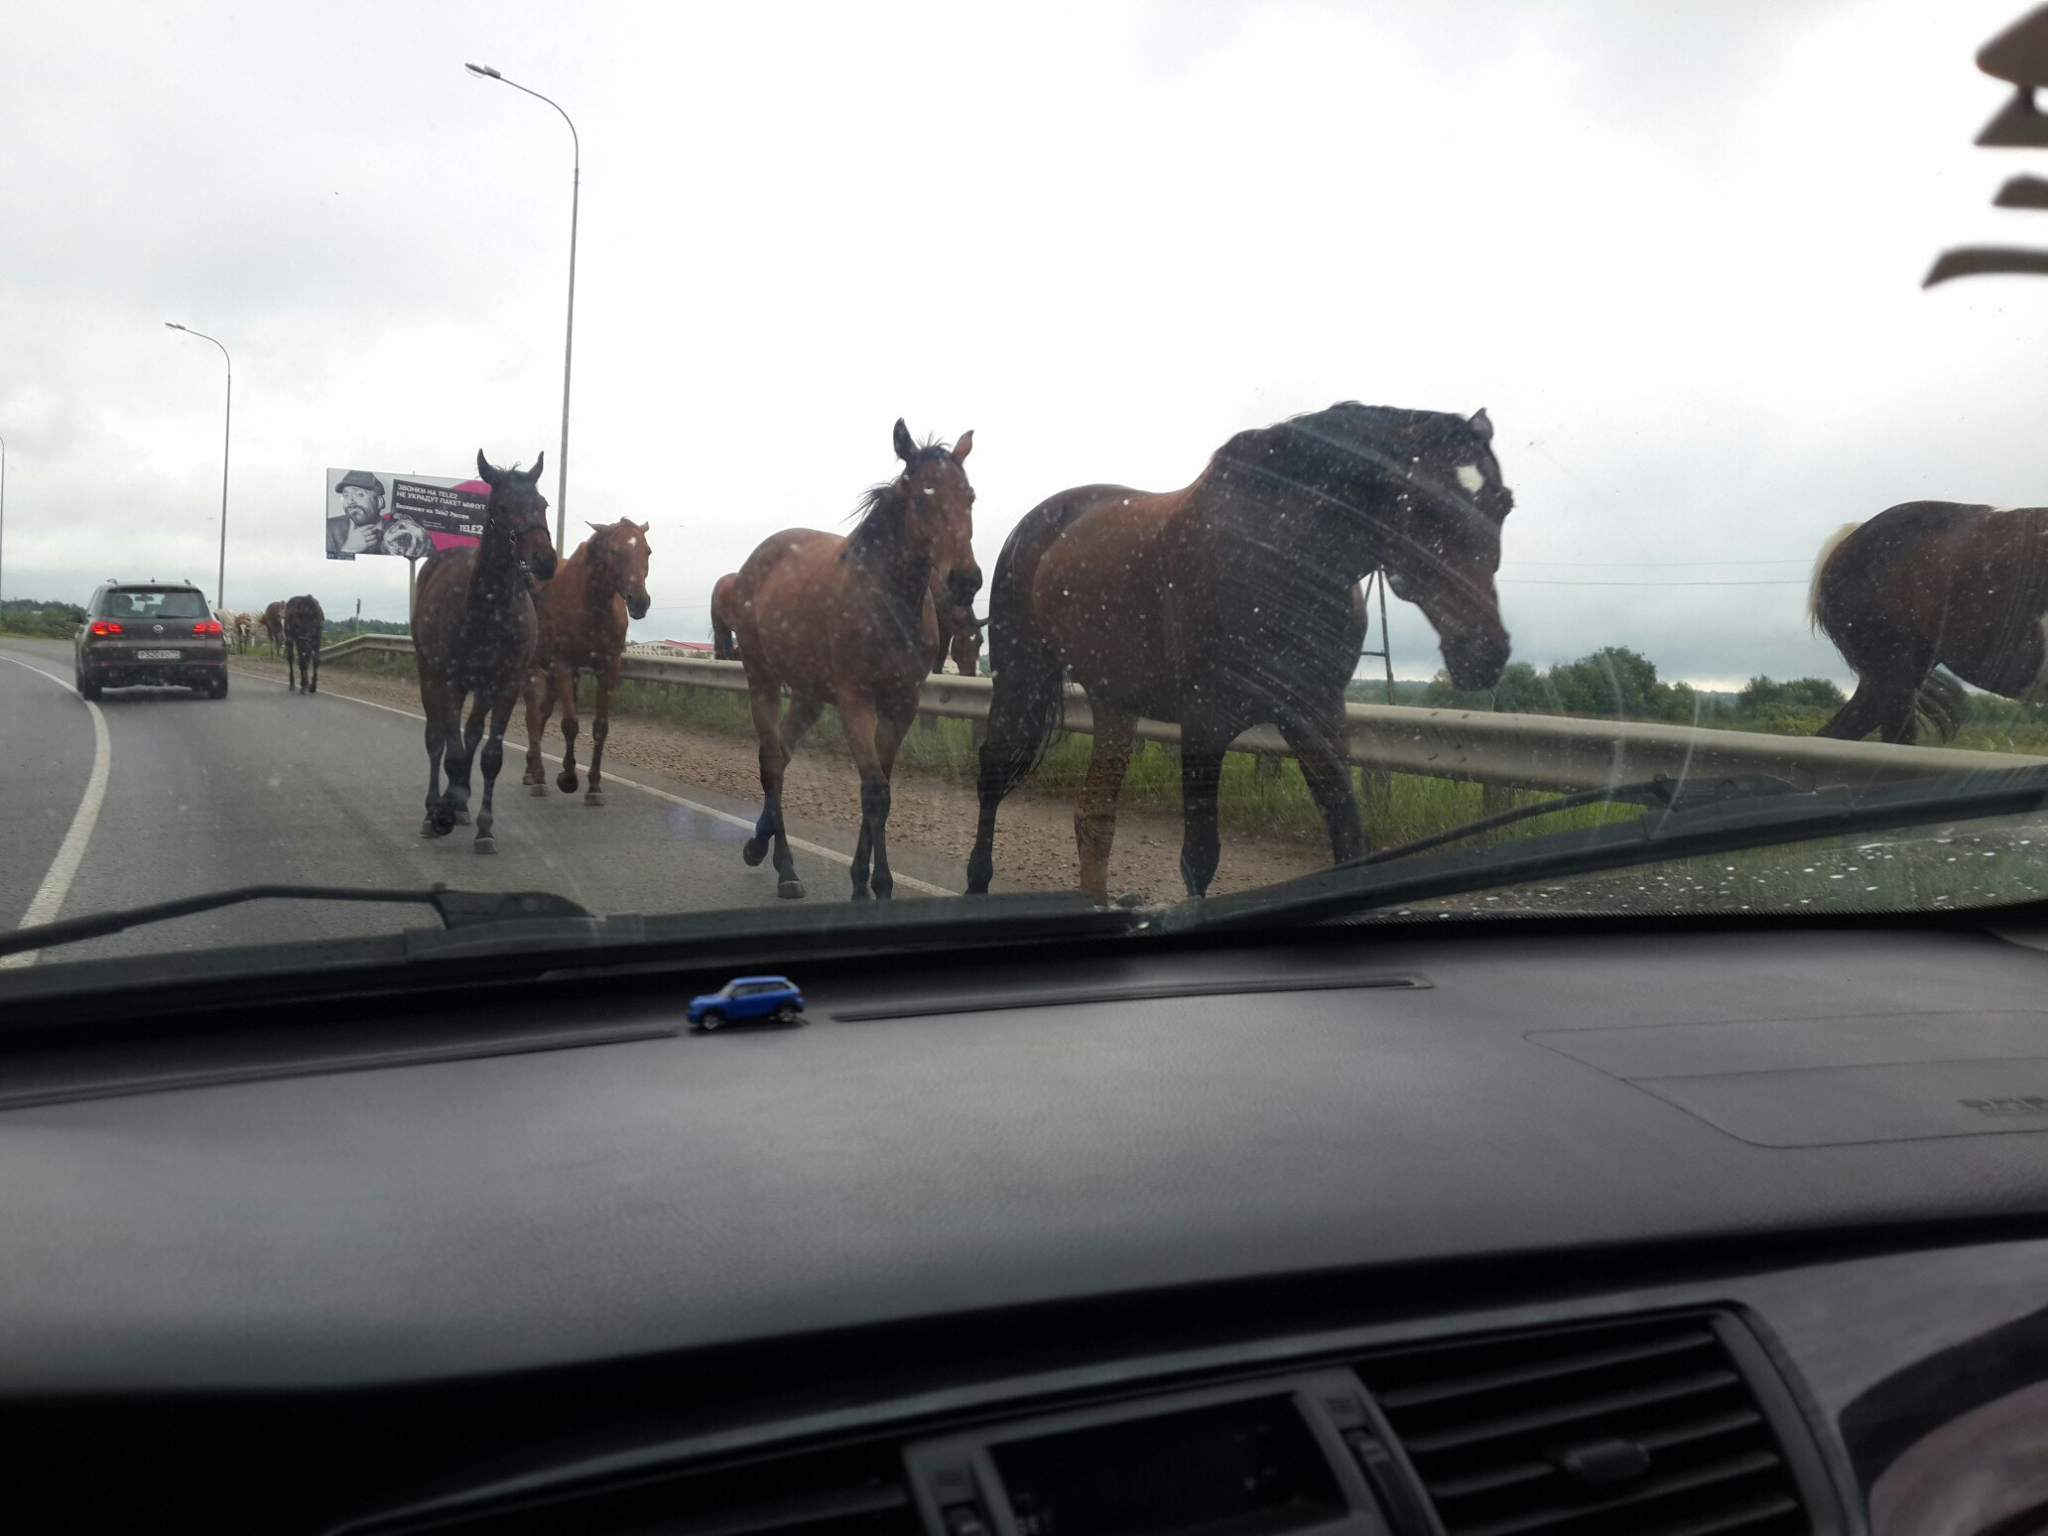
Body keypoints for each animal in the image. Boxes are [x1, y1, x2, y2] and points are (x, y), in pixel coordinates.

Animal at [413, 454, 561, 856]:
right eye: (503, 507)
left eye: (543, 504)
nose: (545, 560)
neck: (489, 609)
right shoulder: (448, 680)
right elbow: (450, 749)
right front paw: (443, 812)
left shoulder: (506, 684)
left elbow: (489, 755)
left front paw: (483, 827)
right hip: (429, 672)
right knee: (436, 741)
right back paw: (435, 806)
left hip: (479, 688)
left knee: (471, 734)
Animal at [524, 520, 651, 806]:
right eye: (614, 550)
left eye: (647, 551)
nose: (639, 600)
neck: (590, 605)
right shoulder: (564, 665)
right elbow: (570, 725)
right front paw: (568, 778)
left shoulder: (608, 669)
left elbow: (600, 728)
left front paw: (594, 785)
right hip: (531, 667)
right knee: (532, 715)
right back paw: (537, 776)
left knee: (542, 712)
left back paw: (530, 770)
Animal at [737, 421, 983, 901]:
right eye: (922, 497)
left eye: (970, 497)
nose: (966, 579)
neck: (887, 602)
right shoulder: (856, 702)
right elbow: (874, 792)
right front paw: (876, 884)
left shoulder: (901, 705)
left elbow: (882, 787)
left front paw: (864, 879)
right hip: (764, 683)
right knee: (771, 760)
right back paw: (784, 866)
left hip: (809, 697)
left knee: (782, 756)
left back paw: (762, 845)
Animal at [966, 403, 1515, 909]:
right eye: (1423, 506)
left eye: (1503, 504)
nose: (1485, 652)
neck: (1276, 559)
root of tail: (1038, 524)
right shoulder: (1204, 724)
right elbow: (1199, 856)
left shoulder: (1319, 718)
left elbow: (1348, 839)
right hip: (1020, 679)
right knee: (994, 774)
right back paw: (976, 882)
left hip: (1114, 702)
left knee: (1094, 815)